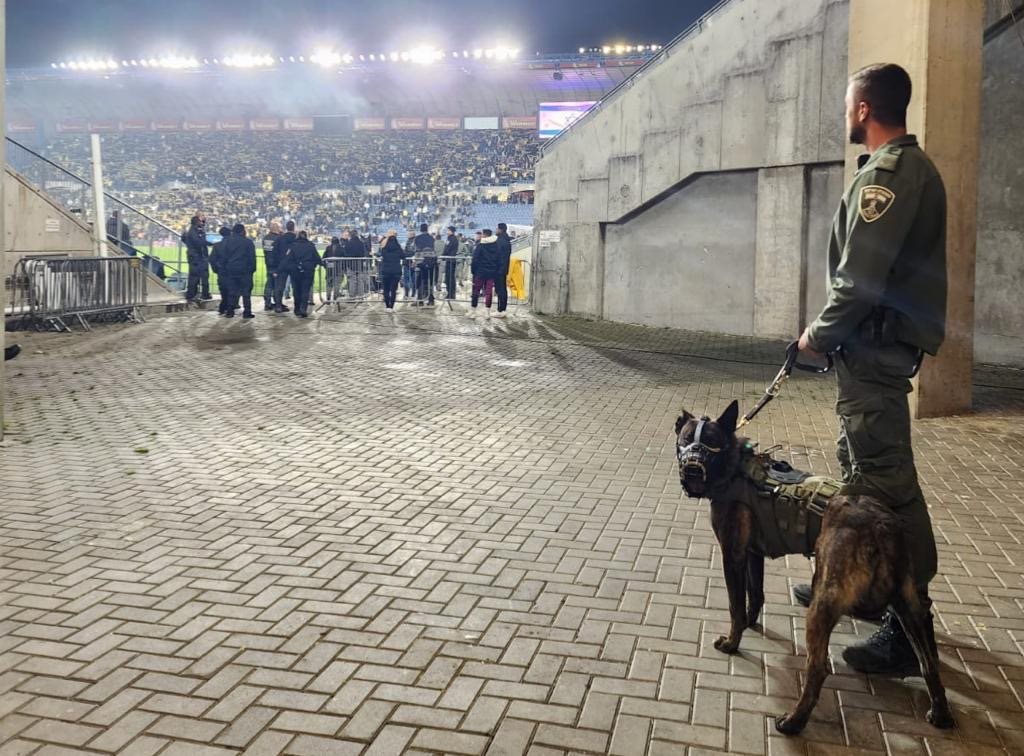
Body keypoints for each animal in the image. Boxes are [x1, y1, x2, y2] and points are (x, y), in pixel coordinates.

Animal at [675, 403, 954, 733]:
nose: (693, 467)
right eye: (686, 439)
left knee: (818, 668)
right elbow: (755, 596)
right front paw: (749, 623)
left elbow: (735, 605)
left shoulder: (733, 556)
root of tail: (882, 525)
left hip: (821, 605)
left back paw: (794, 721)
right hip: (908, 606)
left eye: (712, 442)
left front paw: (733, 641)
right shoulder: (753, 554)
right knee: (928, 661)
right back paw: (941, 713)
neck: (734, 467)